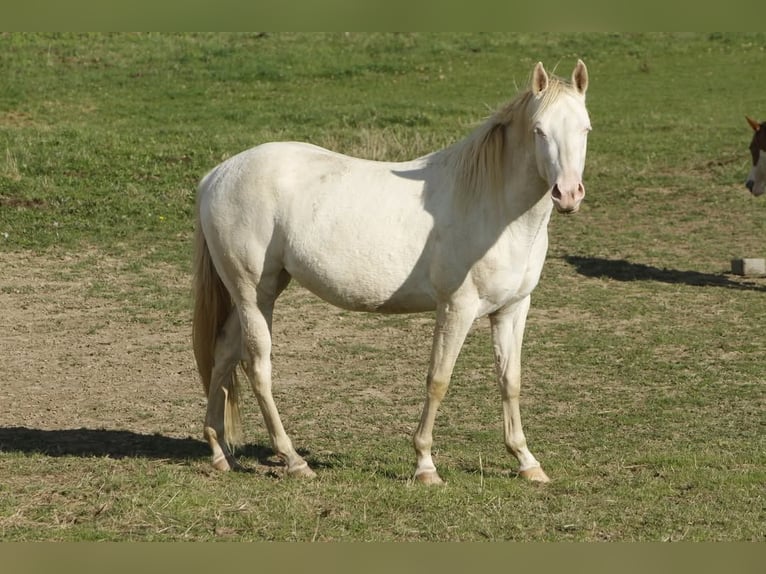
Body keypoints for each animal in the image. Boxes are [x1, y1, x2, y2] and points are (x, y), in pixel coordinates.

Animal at [192, 60, 591, 484]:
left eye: (585, 129)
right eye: (539, 130)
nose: (568, 194)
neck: (492, 205)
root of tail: (216, 176)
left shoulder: (512, 309)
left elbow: (510, 381)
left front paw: (527, 461)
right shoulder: (457, 308)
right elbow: (438, 380)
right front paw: (425, 466)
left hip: (255, 293)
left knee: (223, 353)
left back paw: (220, 453)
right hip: (254, 295)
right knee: (257, 367)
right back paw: (294, 460)